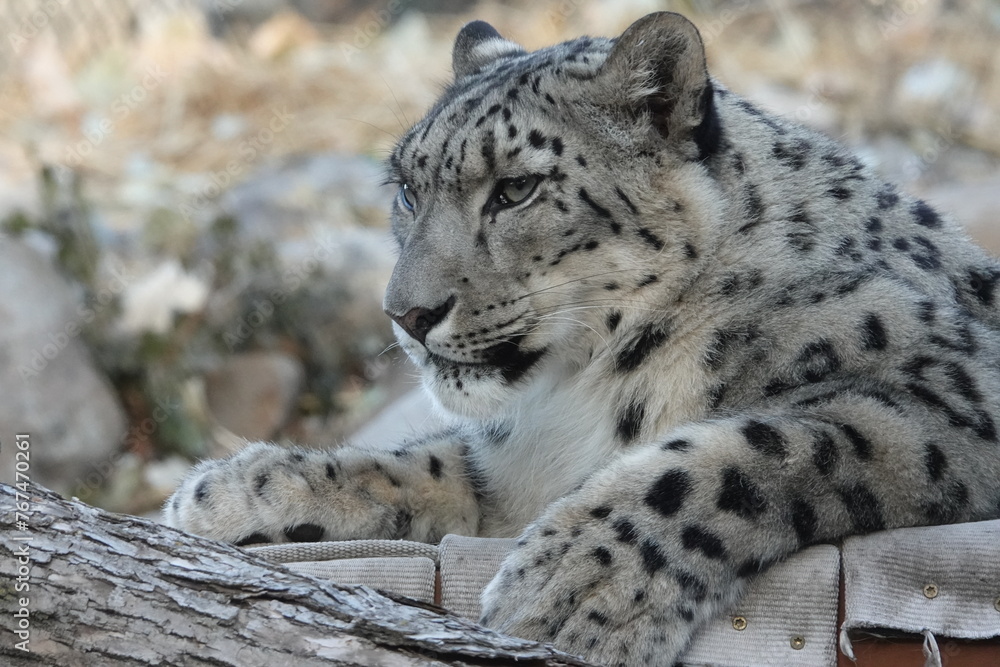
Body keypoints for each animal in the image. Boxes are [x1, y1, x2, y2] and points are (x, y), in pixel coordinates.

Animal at [166, 12, 1000, 666]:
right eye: (407, 188)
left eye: (516, 189)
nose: (406, 313)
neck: (581, 395)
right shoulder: (513, 469)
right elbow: (435, 465)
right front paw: (235, 489)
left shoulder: (946, 391)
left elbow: (757, 448)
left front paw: (573, 585)